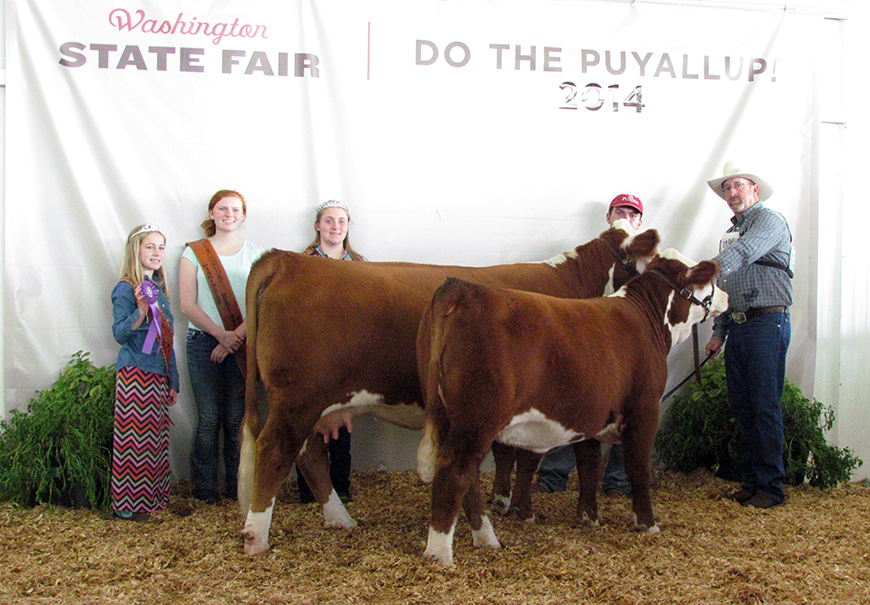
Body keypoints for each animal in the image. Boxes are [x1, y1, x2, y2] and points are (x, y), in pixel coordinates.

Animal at [238, 222, 660, 552]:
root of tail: (286, 259)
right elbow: (540, 457)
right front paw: (525, 510)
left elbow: (528, 455)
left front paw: (509, 503)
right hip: (298, 398)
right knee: (276, 449)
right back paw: (257, 537)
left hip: (309, 403)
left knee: (308, 454)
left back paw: (340, 519)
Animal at [418, 248, 728, 564]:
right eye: (710, 280)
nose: (727, 298)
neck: (646, 319)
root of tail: (462, 288)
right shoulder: (644, 409)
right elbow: (638, 468)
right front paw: (647, 524)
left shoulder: (592, 416)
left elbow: (589, 465)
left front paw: (588, 517)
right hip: (479, 417)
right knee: (455, 471)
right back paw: (440, 553)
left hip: (451, 415)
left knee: (469, 477)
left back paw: (486, 538)